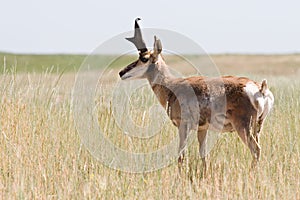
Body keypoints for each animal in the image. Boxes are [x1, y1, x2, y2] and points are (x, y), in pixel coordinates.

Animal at [119, 18, 274, 170]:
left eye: (144, 58)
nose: (121, 72)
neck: (172, 86)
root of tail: (260, 88)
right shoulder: (202, 129)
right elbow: (203, 155)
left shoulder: (183, 126)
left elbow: (181, 156)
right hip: (257, 128)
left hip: (243, 127)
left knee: (256, 149)